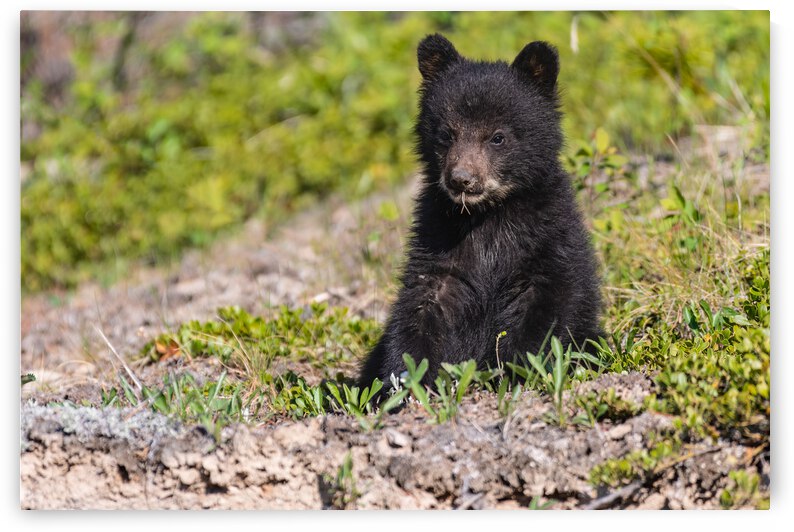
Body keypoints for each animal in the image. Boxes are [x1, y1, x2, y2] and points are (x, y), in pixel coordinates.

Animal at [359, 33, 602, 389]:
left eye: (497, 137)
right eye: (447, 134)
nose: (461, 179)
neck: (487, 217)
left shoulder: (548, 240)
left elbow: (547, 309)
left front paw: (514, 370)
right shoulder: (437, 242)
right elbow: (419, 308)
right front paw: (402, 380)